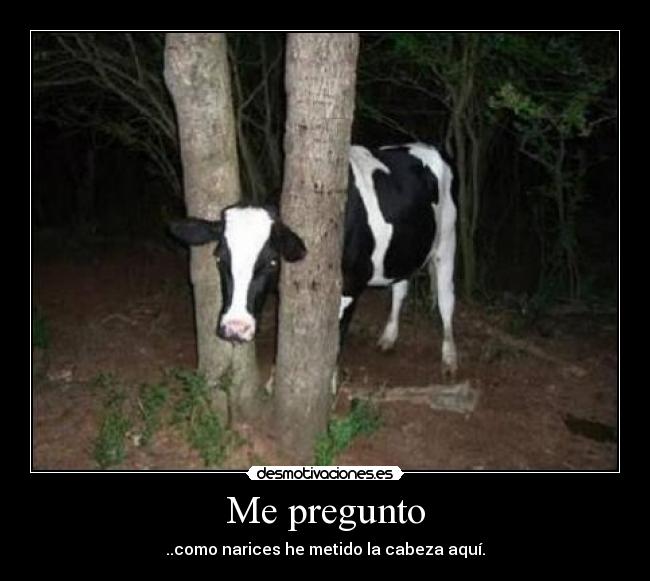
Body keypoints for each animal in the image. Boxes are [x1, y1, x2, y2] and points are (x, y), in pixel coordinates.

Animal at [170, 142, 458, 378]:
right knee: (400, 288)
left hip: (446, 242)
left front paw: (330, 382)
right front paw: (274, 378)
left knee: (446, 299)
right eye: (219, 258)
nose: (235, 328)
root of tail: (430, 147)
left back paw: (449, 357)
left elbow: (337, 337)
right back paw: (389, 337)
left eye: (272, 262)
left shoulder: (351, 284)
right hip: (402, 250)